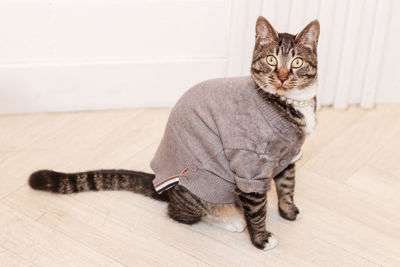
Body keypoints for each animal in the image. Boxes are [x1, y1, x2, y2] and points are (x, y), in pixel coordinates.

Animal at [28, 16, 318, 251]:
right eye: (271, 60)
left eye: (297, 62)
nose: (282, 76)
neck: (290, 104)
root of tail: (164, 186)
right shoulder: (250, 165)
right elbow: (257, 209)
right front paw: (261, 239)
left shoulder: (289, 156)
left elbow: (287, 186)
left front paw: (289, 211)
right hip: (206, 184)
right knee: (180, 213)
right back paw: (231, 219)